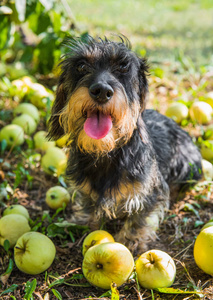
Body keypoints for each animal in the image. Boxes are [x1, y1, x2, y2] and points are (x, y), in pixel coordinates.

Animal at [47, 36, 201, 253]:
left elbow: (140, 217)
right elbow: (88, 204)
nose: (101, 91)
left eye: (123, 66)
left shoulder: (150, 191)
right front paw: (84, 221)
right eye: (81, 65)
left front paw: (130, 240)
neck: (107, 154)